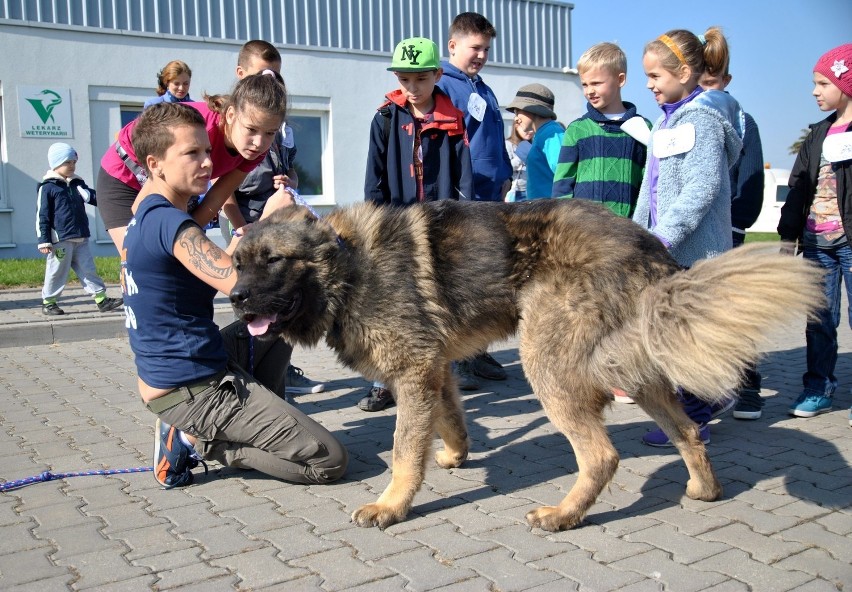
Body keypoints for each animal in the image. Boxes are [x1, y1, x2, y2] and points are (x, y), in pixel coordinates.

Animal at [230, 200, 824, 532]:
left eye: (272, 261)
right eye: (237, 264)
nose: (234, 299)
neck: (349, 266)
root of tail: (647, 246)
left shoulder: (414, 371)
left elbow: (402, 452)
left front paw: (392, 506)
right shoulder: (436, 368)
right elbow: (449, 419)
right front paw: (455, 455)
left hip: (548, 363)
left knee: (602, 455)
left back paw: (564, 516)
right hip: (630, 369)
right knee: (687, 431)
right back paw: (703, 488)